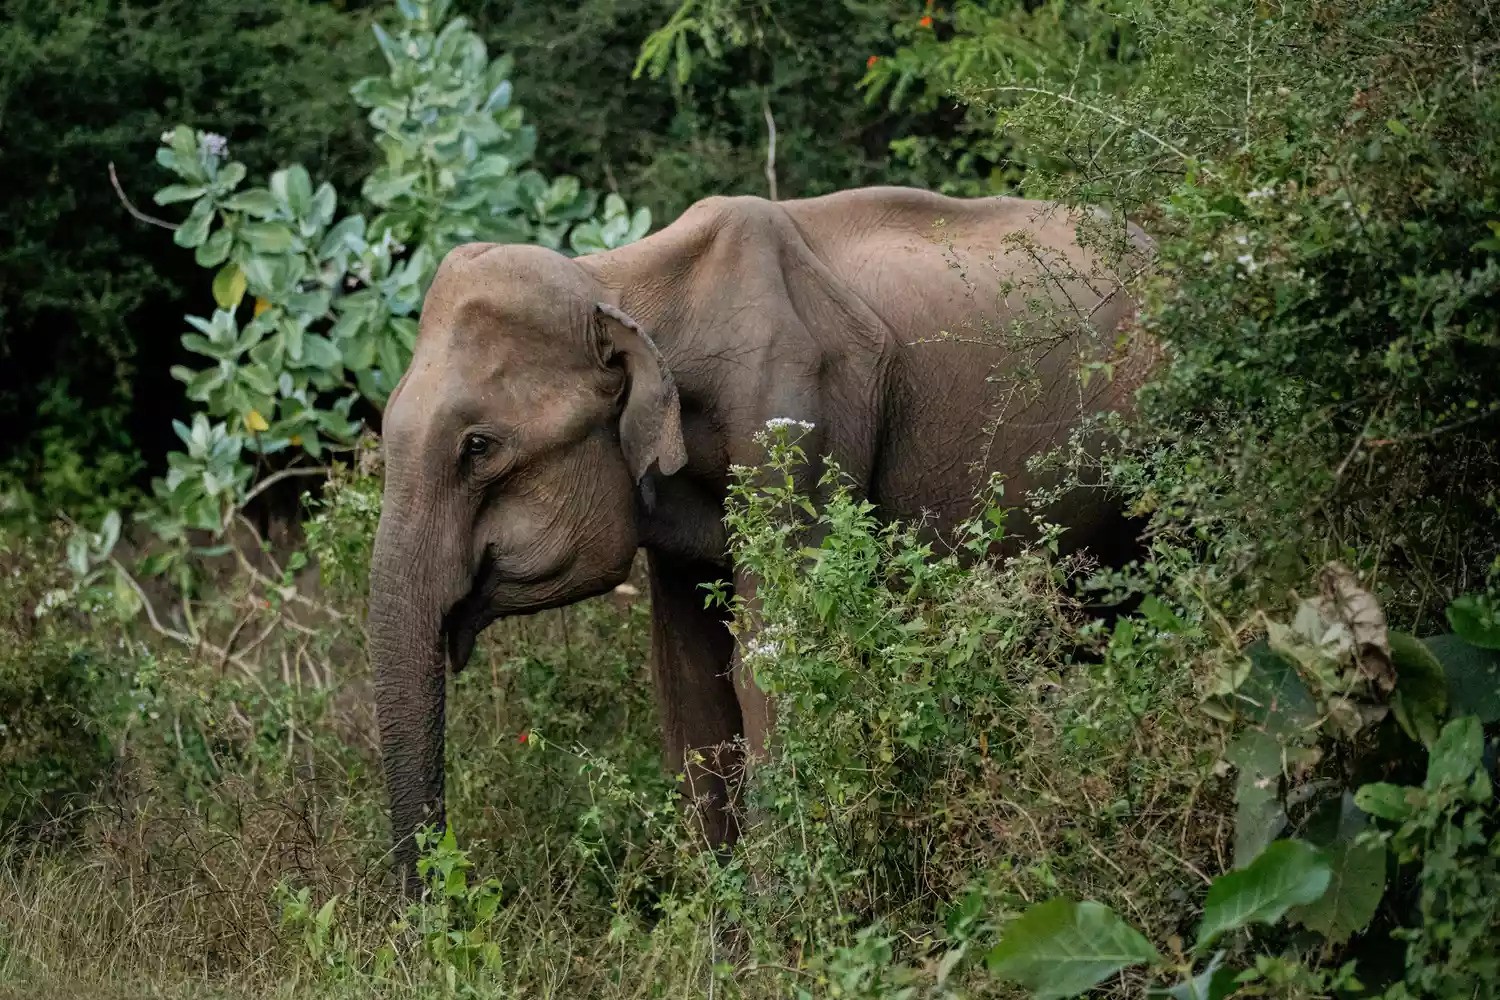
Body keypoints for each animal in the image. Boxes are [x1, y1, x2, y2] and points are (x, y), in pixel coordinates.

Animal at [366, 183, 1158, 887]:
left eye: (478, 447)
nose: (435, 911)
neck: (619, 280)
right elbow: (692, 689)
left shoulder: (803, 422)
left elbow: (773, 667)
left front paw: (785, 922)